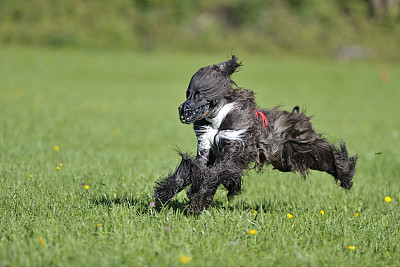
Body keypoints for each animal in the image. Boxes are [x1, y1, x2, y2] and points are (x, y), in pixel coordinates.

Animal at [154, 55, 360, 215]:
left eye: (198, 94)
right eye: (187, 93)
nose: (183, 109)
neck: (217, 117)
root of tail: (296, 116)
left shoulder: (232, 147)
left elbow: (213, 174)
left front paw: (197, 203)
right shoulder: (205, 150)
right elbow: (191, 170)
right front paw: (164, 194)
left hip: (299, 147)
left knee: (326, 154)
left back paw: (346, 175)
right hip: (286, 158)